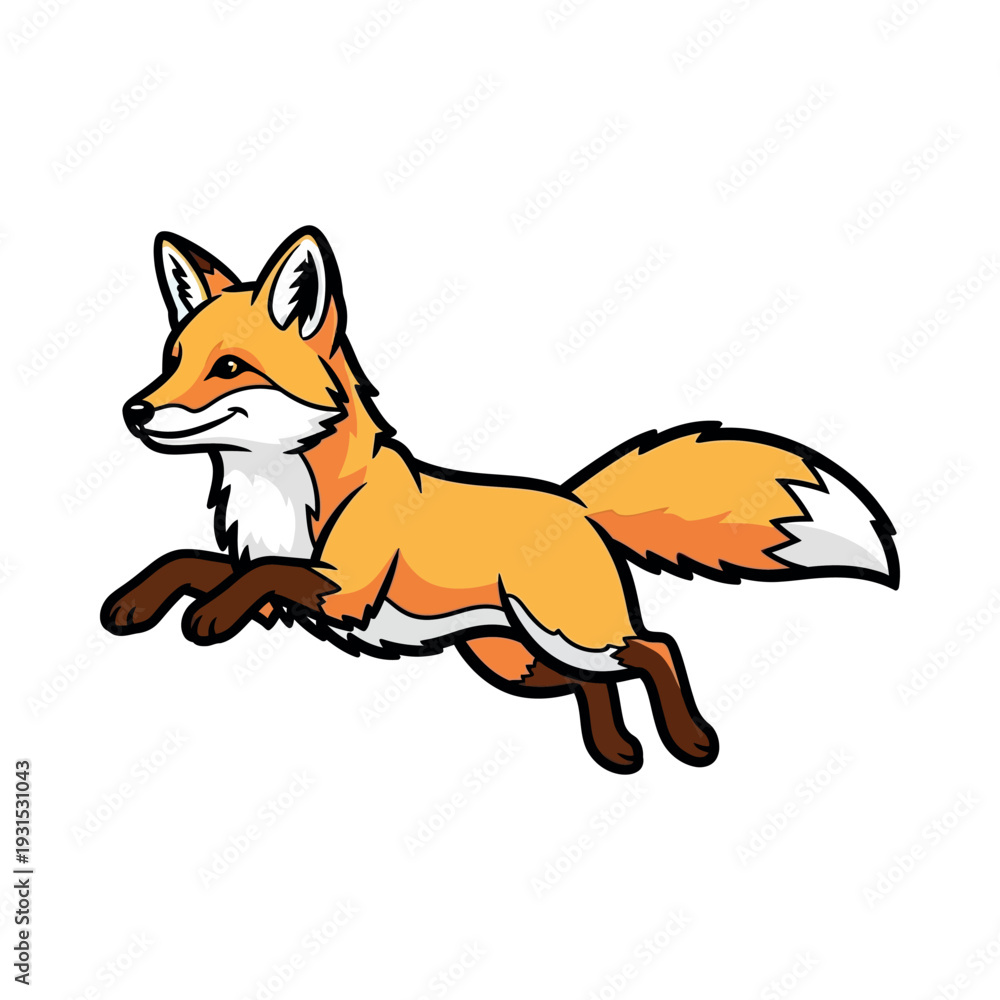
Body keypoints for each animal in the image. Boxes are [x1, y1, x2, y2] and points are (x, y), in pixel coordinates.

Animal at [101, 225, 899, 774]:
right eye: (172, 361)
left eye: (229, 368)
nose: (134, 412)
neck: (284, 489)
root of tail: (573, 501)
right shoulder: (274, 582)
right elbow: (190, 561)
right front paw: (135, 603)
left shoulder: (341, 590)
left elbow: (261, 575)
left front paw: (206, 618)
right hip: (517, 662)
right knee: (598, 684)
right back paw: (616, 749)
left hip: (570, 634)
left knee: (657, 647)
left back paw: (691, 740)